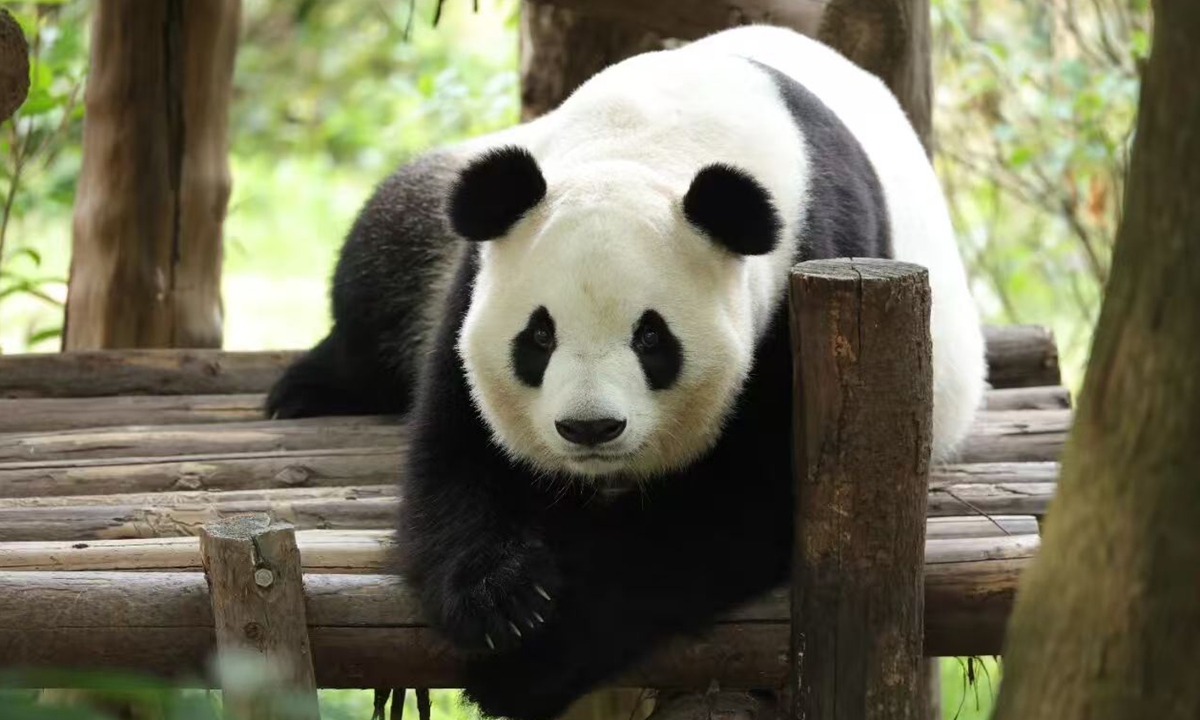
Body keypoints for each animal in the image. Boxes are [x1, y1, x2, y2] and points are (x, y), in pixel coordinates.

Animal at [267, 24, 987, 720]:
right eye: (538, 335)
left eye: (651, 338)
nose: (590, 429)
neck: (645, 143)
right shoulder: (478, 274)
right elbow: (456, 454)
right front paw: (500, 601)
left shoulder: (805, 285)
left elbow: (729, 513)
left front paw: (523, 668)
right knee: (382, 254)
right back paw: (308, 388)